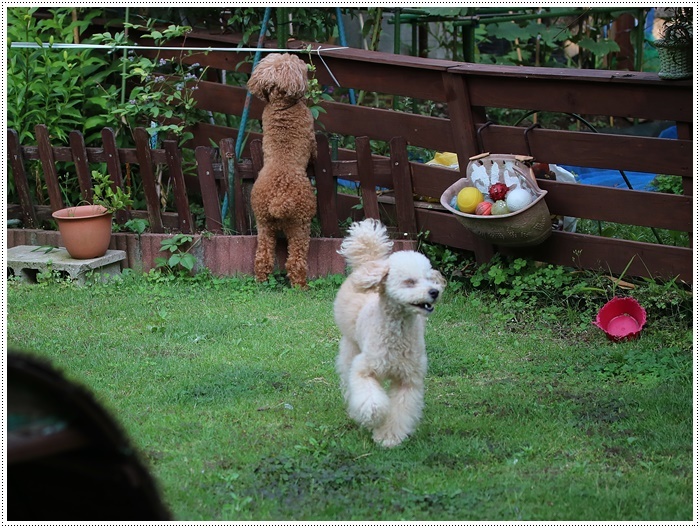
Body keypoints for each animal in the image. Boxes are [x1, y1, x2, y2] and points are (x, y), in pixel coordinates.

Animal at [332, 219, 442, 446]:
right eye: (409, 281)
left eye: (430, 279)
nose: (434, 292)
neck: (397, 333)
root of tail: (369, 262)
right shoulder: (364, 368)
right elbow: (370, 399)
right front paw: (374, 415)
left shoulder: (408, 379)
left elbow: (400, 411)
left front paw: (388, 437)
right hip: (350, 346)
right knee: (347, 377)